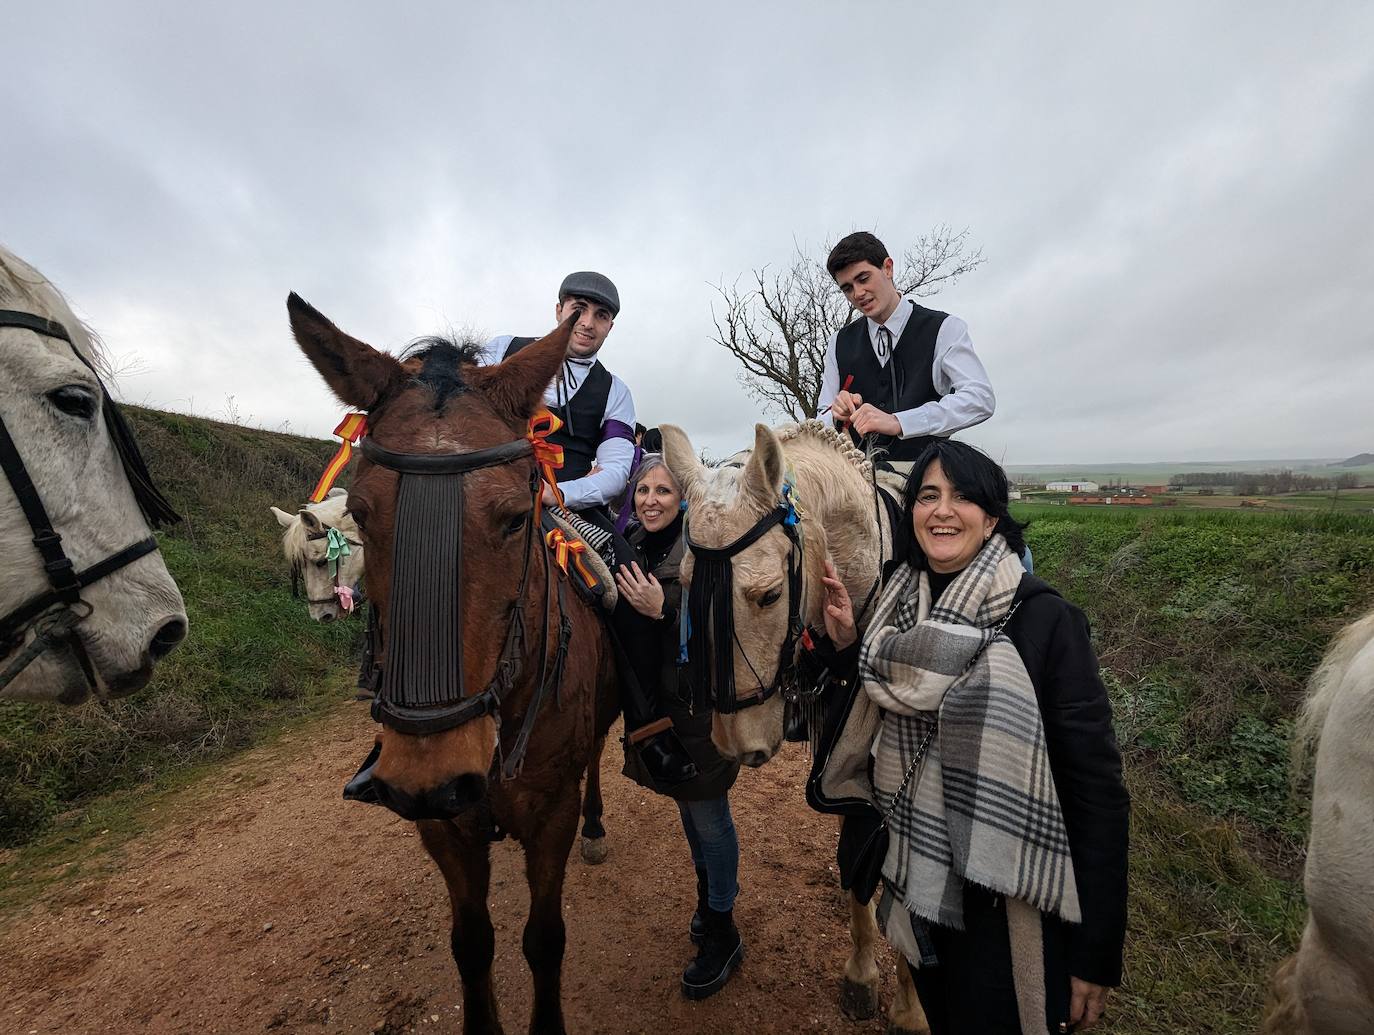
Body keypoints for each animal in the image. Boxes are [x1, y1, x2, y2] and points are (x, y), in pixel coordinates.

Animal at [287, 292, 615, 1033]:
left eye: (516, 516)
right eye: (360, 512)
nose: (430, 775)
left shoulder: (548, 816)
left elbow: (543, 939)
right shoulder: (441, 826)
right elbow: (473, 943)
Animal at [662, 420, 928, 1033]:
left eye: (769, 595)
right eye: (684, 582)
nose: (735, 744)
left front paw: (909, 1006)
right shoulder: (840, 751)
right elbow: (856, 865)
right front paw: (864, 974)